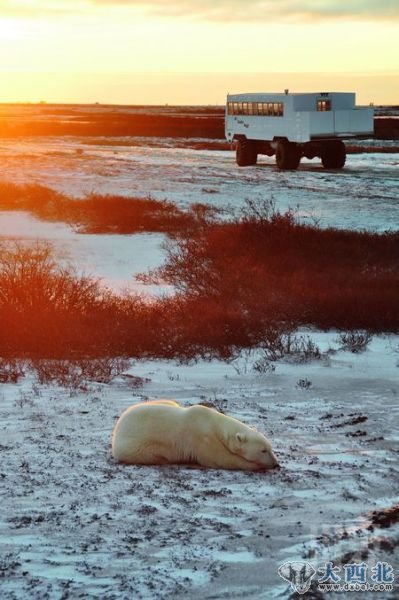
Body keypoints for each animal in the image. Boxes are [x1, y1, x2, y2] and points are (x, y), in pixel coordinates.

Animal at [111, 400, 280, 472]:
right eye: (263, 450)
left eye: (270, 448)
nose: (276, 464)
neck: (214, 423)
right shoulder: (202, 437)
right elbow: (219, 458)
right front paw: (255, 465)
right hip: (136, 447)